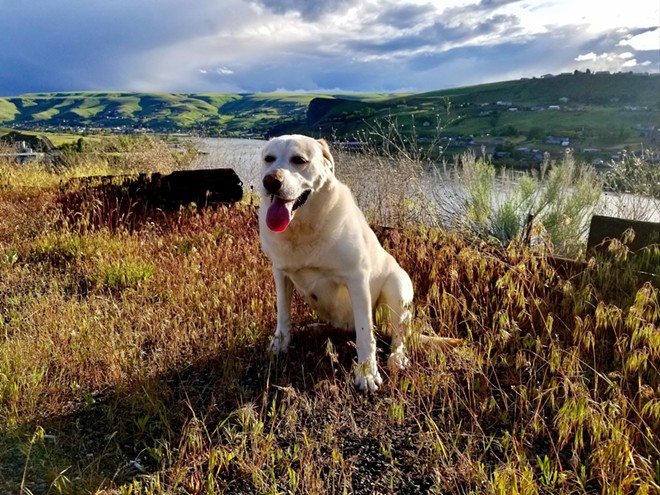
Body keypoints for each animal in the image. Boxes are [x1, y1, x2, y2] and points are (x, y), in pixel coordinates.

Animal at [260, 135, 456, 392]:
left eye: (299, 160)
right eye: (268, 159)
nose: (270, 181)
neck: (304, 228)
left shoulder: (357, 279)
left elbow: (365, 335)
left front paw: (366, 373)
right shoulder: (280, 273)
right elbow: (283, 314)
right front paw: (280, 345)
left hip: (398, 286)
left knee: (397, 335)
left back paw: (397, 357)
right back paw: (316, 328)